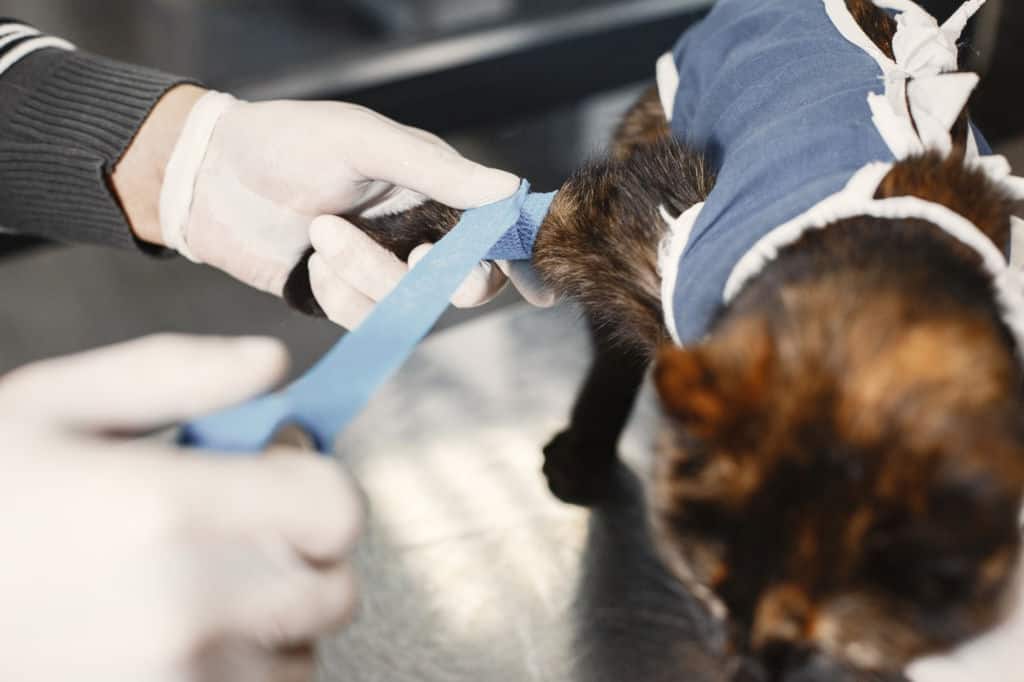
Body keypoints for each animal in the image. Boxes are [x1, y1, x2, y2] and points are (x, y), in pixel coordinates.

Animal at [282, 2, 1024, 675]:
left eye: (828, 648)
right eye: (708, 586)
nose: (747, 665)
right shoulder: (622, 213)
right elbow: (496, 213)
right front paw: (325, 265)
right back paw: (581, 457)